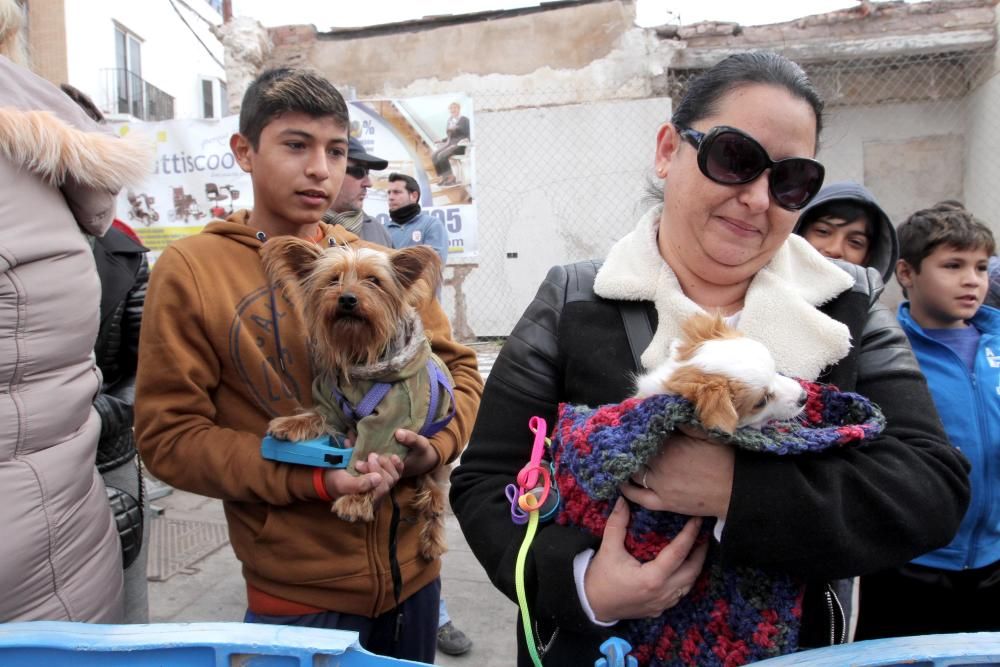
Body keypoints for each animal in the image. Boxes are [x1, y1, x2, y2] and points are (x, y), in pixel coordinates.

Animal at [264, 237, 456, 560]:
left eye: (374, 281)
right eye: (333, 280)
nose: (347, 299)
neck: (360, 355)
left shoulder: (394, 419)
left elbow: (371, 451)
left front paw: (354, 500)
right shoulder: (331, 400)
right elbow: (320, 415)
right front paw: (291, 424)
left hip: (435, 470)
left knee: (434, 501)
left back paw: (432, 543)